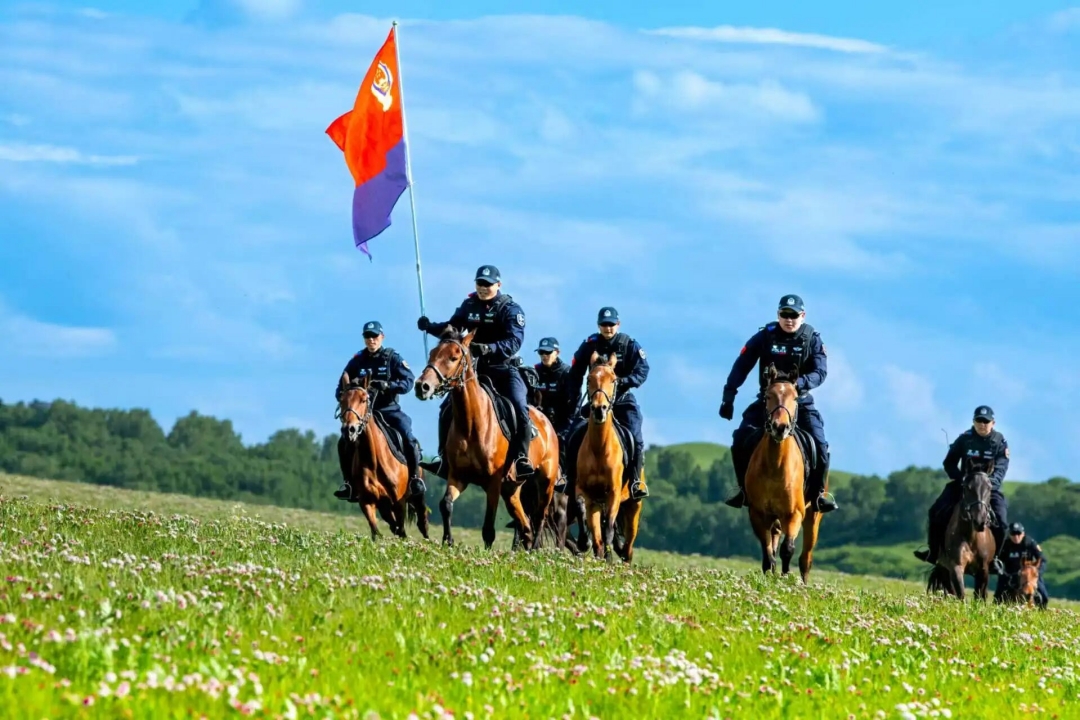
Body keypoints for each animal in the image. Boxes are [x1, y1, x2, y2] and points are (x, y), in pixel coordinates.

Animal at [413, 327, 560, 550]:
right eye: (432, 353)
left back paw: (534, 549)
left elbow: (488, 529)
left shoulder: (493, 483)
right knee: (525, 524)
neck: (472, 424)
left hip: (545, 484)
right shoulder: (458, 477)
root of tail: (547, 423)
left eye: (454, 357)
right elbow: (445, 504)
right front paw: (448, 541)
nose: (422, 386)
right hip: (512, 490)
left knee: (538, 518)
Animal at [574, 352, 643, 563]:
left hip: (633, 506)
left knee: (628, 547)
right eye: (589, 379)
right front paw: (584, 542)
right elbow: (583, 511)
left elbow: (610, 529)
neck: (599, 449)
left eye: (613, 379)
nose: (599, 409)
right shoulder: (586, 493)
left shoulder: (613, 494)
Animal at [744, 365, 824, 583]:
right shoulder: (758, 514)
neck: (775, 465)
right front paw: (770, 574)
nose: (780, 427)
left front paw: (785, 576)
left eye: (795, 397)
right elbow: (768, 553)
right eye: (768, 396)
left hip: (813, 516)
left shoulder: (794, 514)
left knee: (806, 558)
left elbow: (787, 549)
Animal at [927, 460, 996, 601]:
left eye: (989, 487)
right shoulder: (955, 566)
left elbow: (979, 595)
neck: (971, 537)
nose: (979, 521)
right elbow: (960, 594)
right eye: (967, 487)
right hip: (943, 568)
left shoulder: (983, 569)